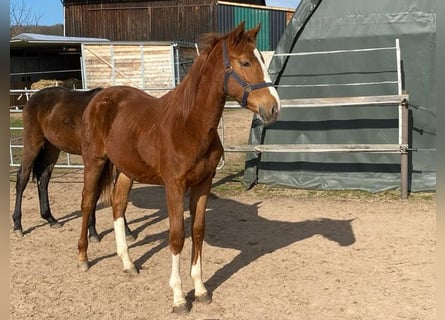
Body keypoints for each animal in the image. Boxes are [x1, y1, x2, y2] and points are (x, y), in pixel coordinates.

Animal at [10, 86, 132, 241]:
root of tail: (33, 98)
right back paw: (18, 226)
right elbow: (93, 193)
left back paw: (50, 219)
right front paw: (93, 232)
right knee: (22, 178)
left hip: (52, 148)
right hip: (32, 143)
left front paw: (126, 231)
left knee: (43, 179)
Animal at [76, 23, 278, 316]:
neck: (188, 125)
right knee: (88, 203)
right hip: (94, 161)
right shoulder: (174, 186)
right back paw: (83, 257)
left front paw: (201, 290)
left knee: (117, 206)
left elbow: (197, 232)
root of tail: (99, 96)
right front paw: (179, 298)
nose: (273, 108)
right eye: (246, 62)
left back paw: (128, 264)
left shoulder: (203, 183)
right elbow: (177, 237)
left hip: (126, 170)